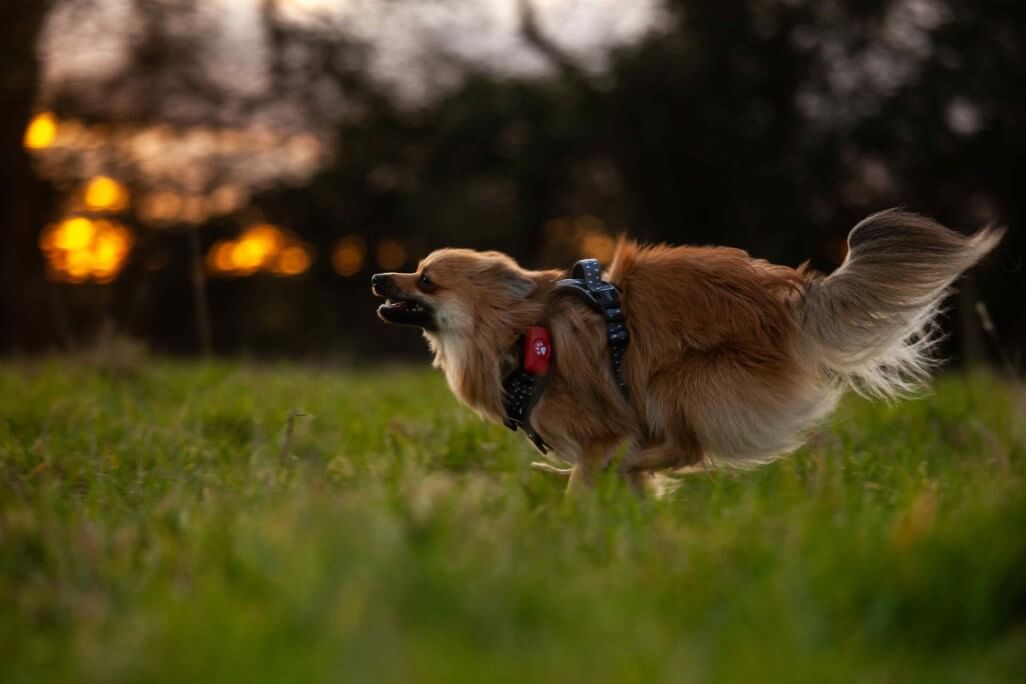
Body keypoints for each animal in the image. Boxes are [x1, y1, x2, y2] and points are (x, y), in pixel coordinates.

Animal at [371, 211, 1001, 494]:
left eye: (426, 280)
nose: (378, 276)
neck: (516, 335)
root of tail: (790, 299)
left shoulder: (603, 426)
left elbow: (589, 472)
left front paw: (577, 506)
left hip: (677, 379)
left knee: (686, 446)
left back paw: (630, 466)